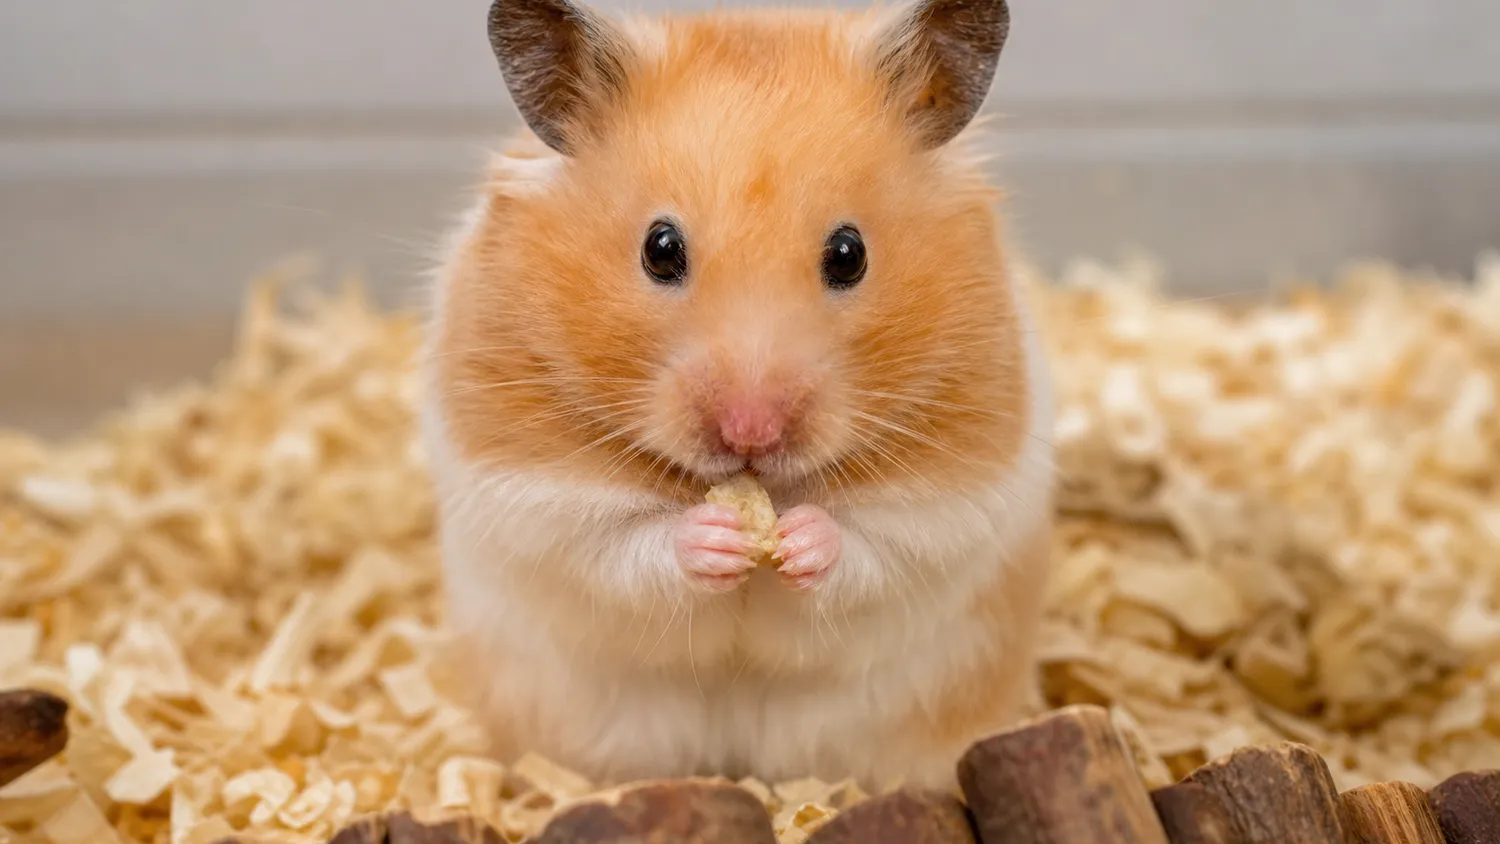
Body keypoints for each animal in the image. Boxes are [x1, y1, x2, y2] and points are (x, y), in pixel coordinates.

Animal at [419, 0, 1055, 791]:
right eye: (660, 248)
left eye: (850, 253)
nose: (751, 433)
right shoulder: (530, 489)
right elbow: (617, 543)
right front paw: (715, 537)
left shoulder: (955, 498)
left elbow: (879, 543)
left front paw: (804, 538)